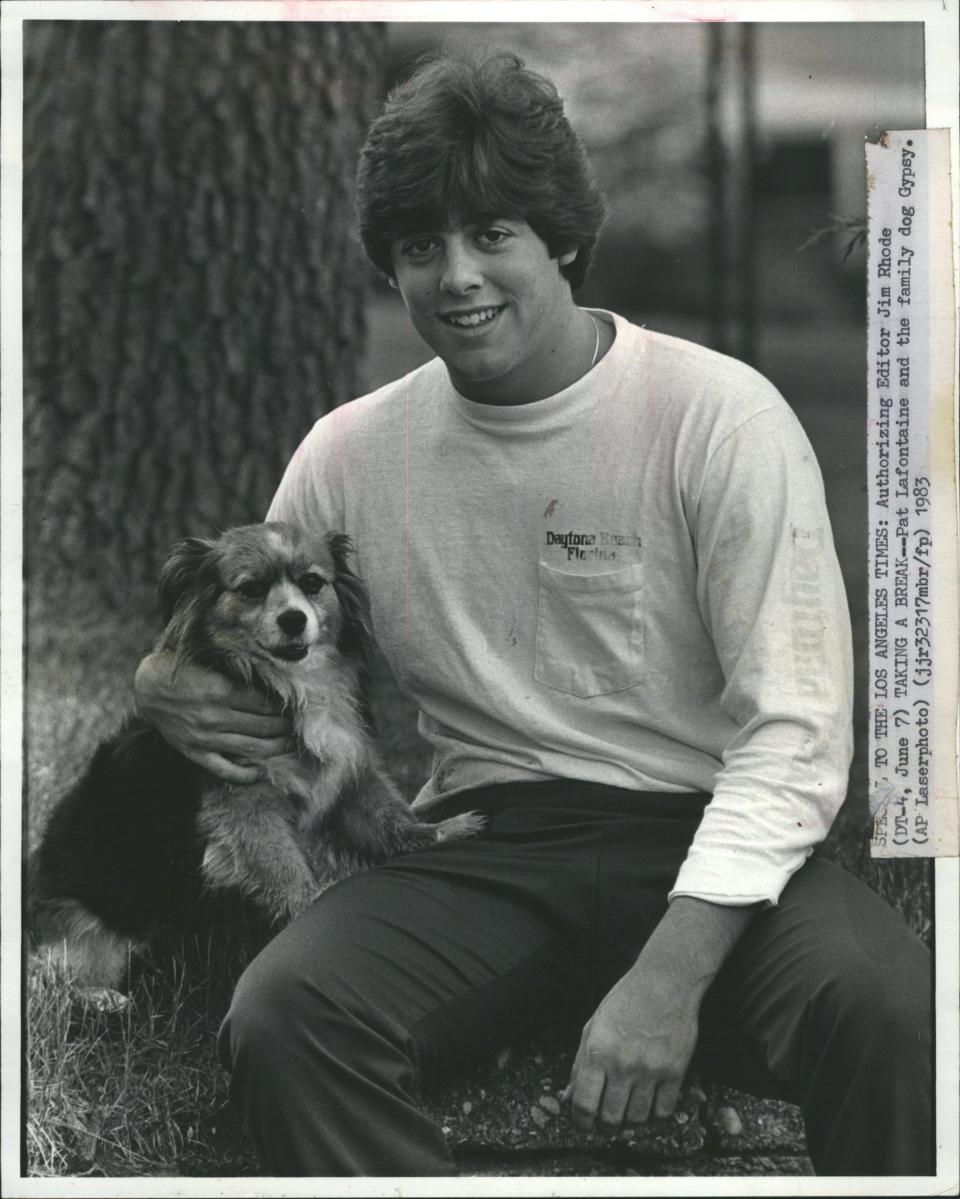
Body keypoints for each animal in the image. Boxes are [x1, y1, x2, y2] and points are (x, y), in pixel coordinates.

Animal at [28, 520, 479, 997]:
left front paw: (443, 832)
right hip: (88, 930)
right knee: (54, 972)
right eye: (251, 589)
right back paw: (101, 997)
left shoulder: (350, 772)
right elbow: (286, 870)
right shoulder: (246, 807)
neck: (293, 685)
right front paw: (313, 909)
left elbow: (387, 817)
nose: (294, 619)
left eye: (312, 583)